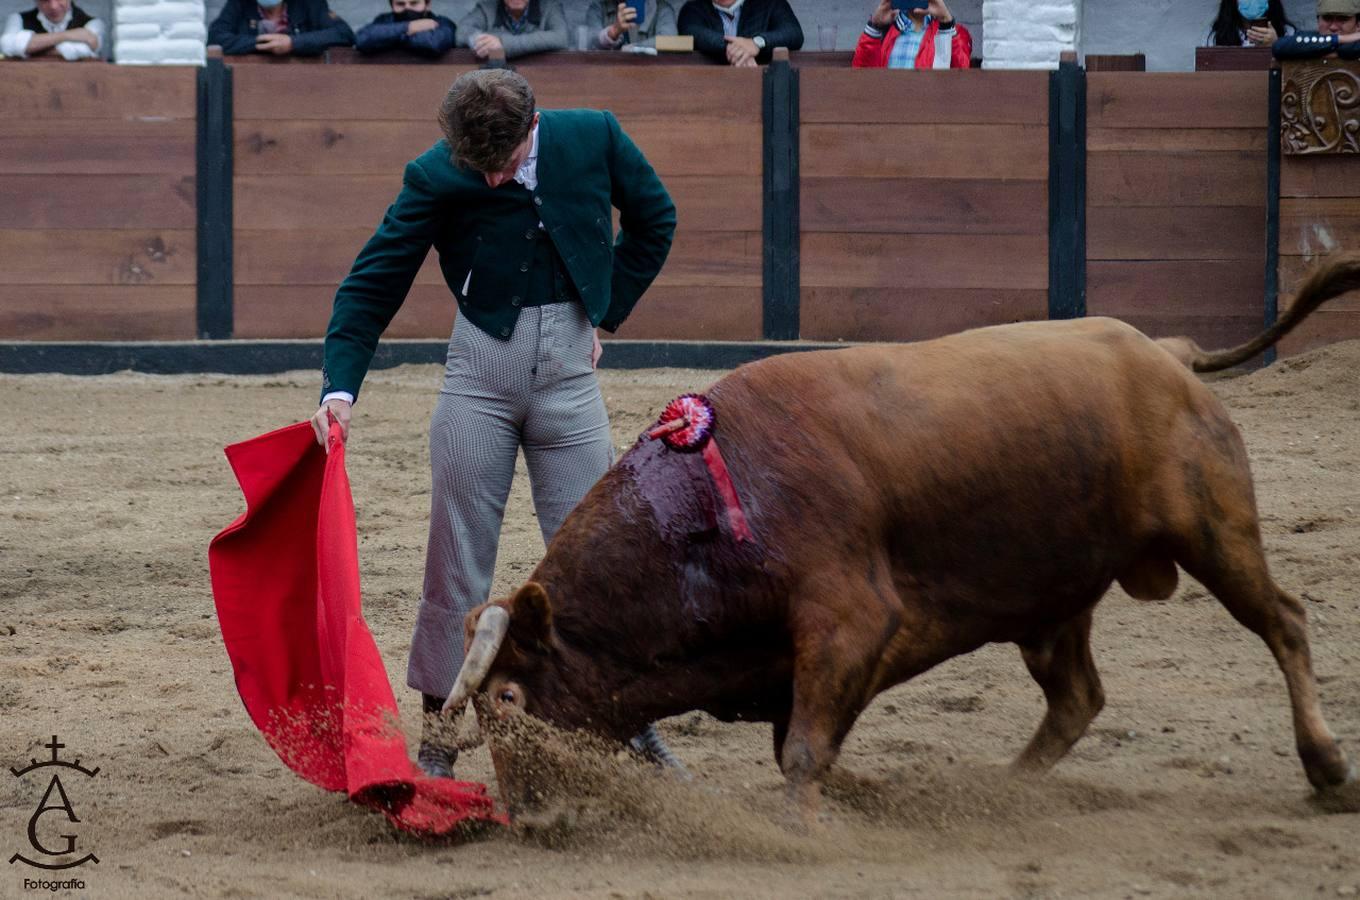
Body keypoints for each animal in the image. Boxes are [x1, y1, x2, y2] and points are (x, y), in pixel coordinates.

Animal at [437, 254, 1360, 826]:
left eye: (510, 698)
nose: (532, 815)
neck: (706, 508)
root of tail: (1165, 352)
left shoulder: (850, 622)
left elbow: (804, 750)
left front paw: (806, 833)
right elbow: (804, 748)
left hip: (1216, 530)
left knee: (1282, 621)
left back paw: (1326, 768)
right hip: (1052, 594)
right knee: (1077, 697)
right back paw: (1002, 793)